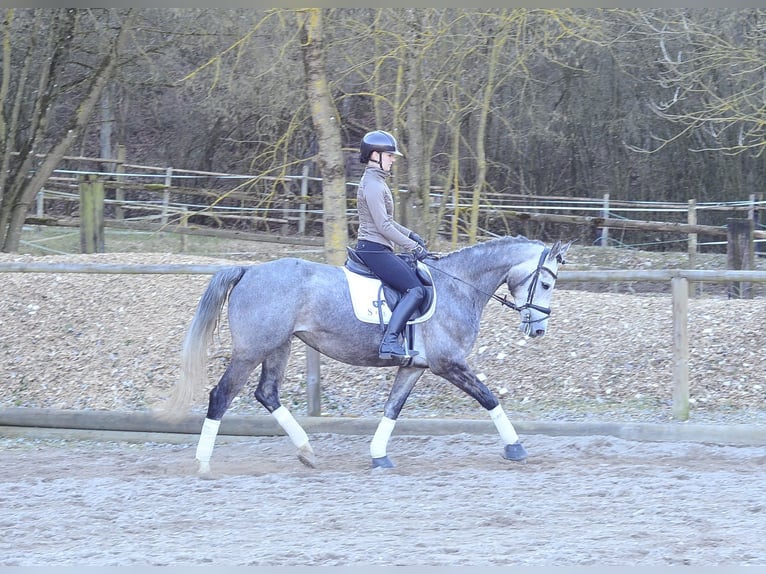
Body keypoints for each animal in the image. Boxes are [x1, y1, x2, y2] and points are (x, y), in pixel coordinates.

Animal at [164, 236, 568, 474]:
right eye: (547, 283)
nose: (538, 330)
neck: (458, 287)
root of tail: (248, 270)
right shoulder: (448, 363)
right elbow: (489, 398)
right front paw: (516, 447)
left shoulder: (416, 367)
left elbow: (392, 408)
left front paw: (378, 455)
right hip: (252, 350)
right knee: (221, 395)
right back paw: (203, 463)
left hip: (279, 346)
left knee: (267, 394)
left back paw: (307, 452)